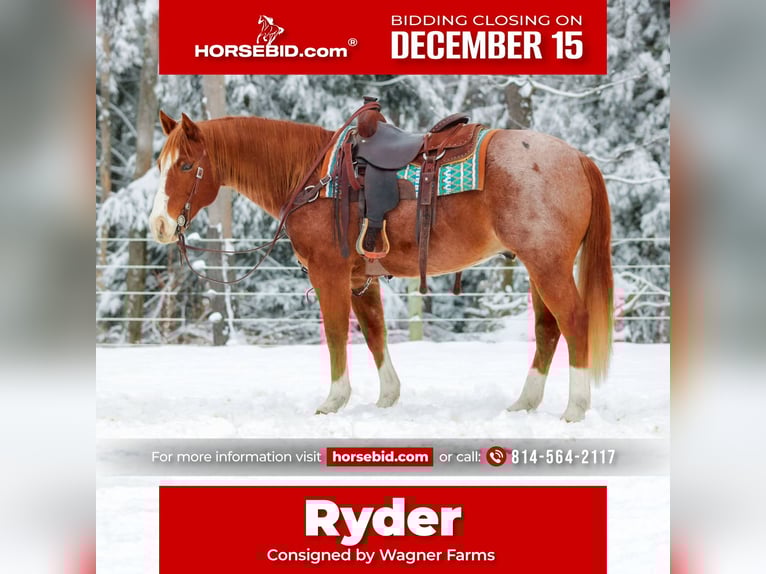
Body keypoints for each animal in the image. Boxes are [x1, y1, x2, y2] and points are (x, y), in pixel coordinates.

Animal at [148, 109, 613, 422]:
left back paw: (575, 408)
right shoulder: (361, 279)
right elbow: (375, 333)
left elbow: (337, 335)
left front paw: (334, 400)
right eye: (160, 164)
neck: (314, 178)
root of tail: (577, 157)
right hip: (537, 267)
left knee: (573, 320)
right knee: (547, 329)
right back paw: (524, 403)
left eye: (186, 165)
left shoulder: (330, 274)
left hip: (548, 266)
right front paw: (388, 395)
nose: (159, 225)